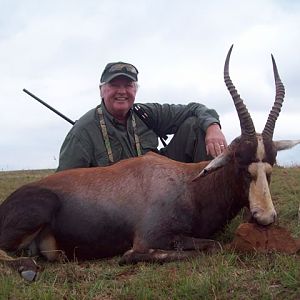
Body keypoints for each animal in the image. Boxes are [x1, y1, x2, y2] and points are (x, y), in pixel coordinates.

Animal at [0, 45, 300, 282]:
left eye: (271, 163)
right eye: (239, 160)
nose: (265, 218)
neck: (190, 186)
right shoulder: (149, 240)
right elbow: (206, 247)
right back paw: (28, 268)